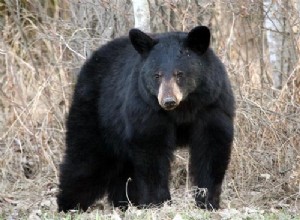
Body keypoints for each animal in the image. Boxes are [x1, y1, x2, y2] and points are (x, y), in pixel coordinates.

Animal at [56, 25, 234, 211]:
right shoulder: (146, 108)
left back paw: (125, 203)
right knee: (86, 158)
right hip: (95, 112)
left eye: (179, 74)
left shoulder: (212, 104)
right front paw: (159, 202)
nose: (168, 101)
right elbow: (152, 149)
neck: (183, 108)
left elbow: (211, 147)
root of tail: (91, 60)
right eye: (157, 75)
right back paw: (69, 205)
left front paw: (208, 201)